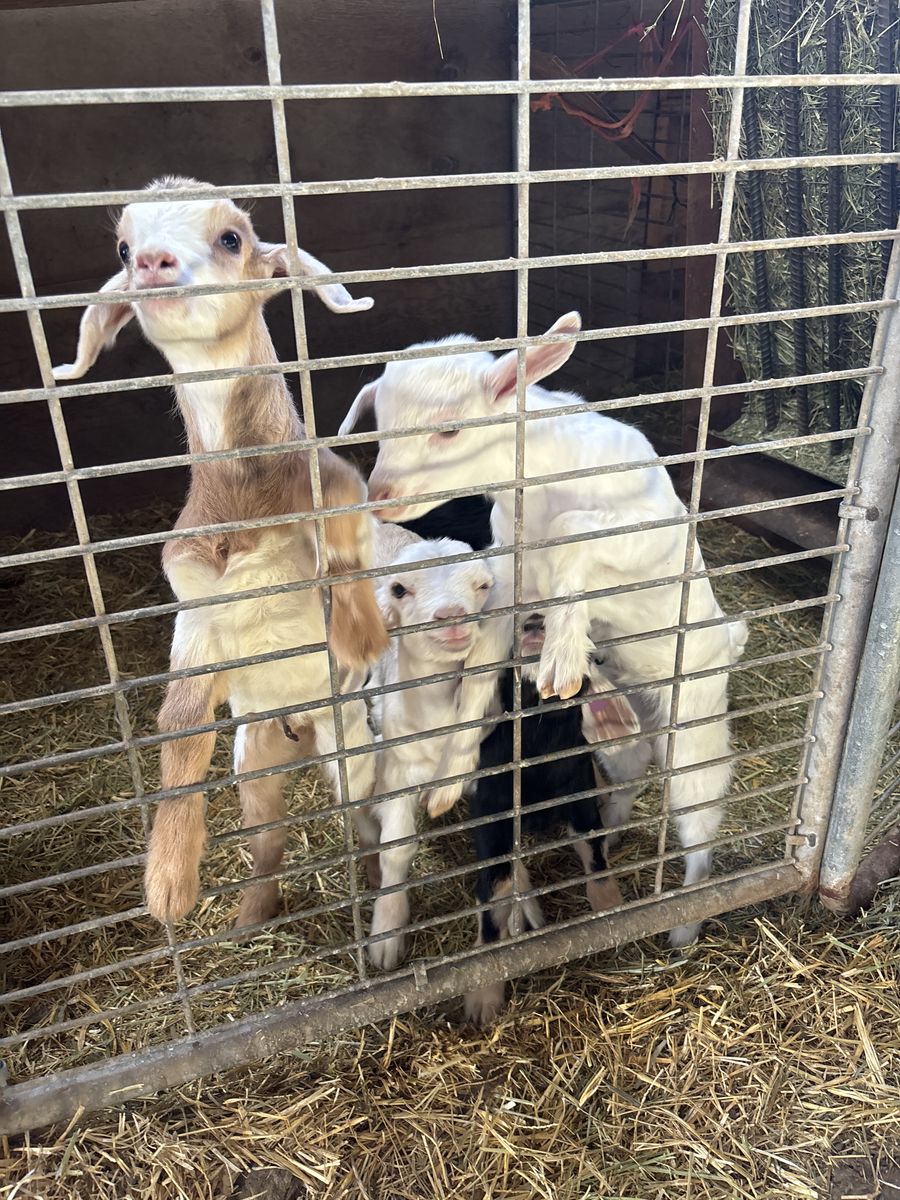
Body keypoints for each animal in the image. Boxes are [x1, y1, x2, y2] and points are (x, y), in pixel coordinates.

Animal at [54, 177, 387, 927]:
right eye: (123, 247)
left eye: (232, 238)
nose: (152, 262)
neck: (241, 501)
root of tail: (299, 732)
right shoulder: (198, 605)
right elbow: (178, 723)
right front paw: (168, 885)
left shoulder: (329, 482)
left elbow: (345, 526)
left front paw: (359, 635)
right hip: (252, 761)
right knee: (268, 840)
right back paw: (251, 915)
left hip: (347, 748)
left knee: (365, 822)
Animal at [360, 531, 496, 969]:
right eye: (399, 589)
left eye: (483, 585)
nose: (451, 616)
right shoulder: (397, 773)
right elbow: (396, 851)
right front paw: (386, 935)